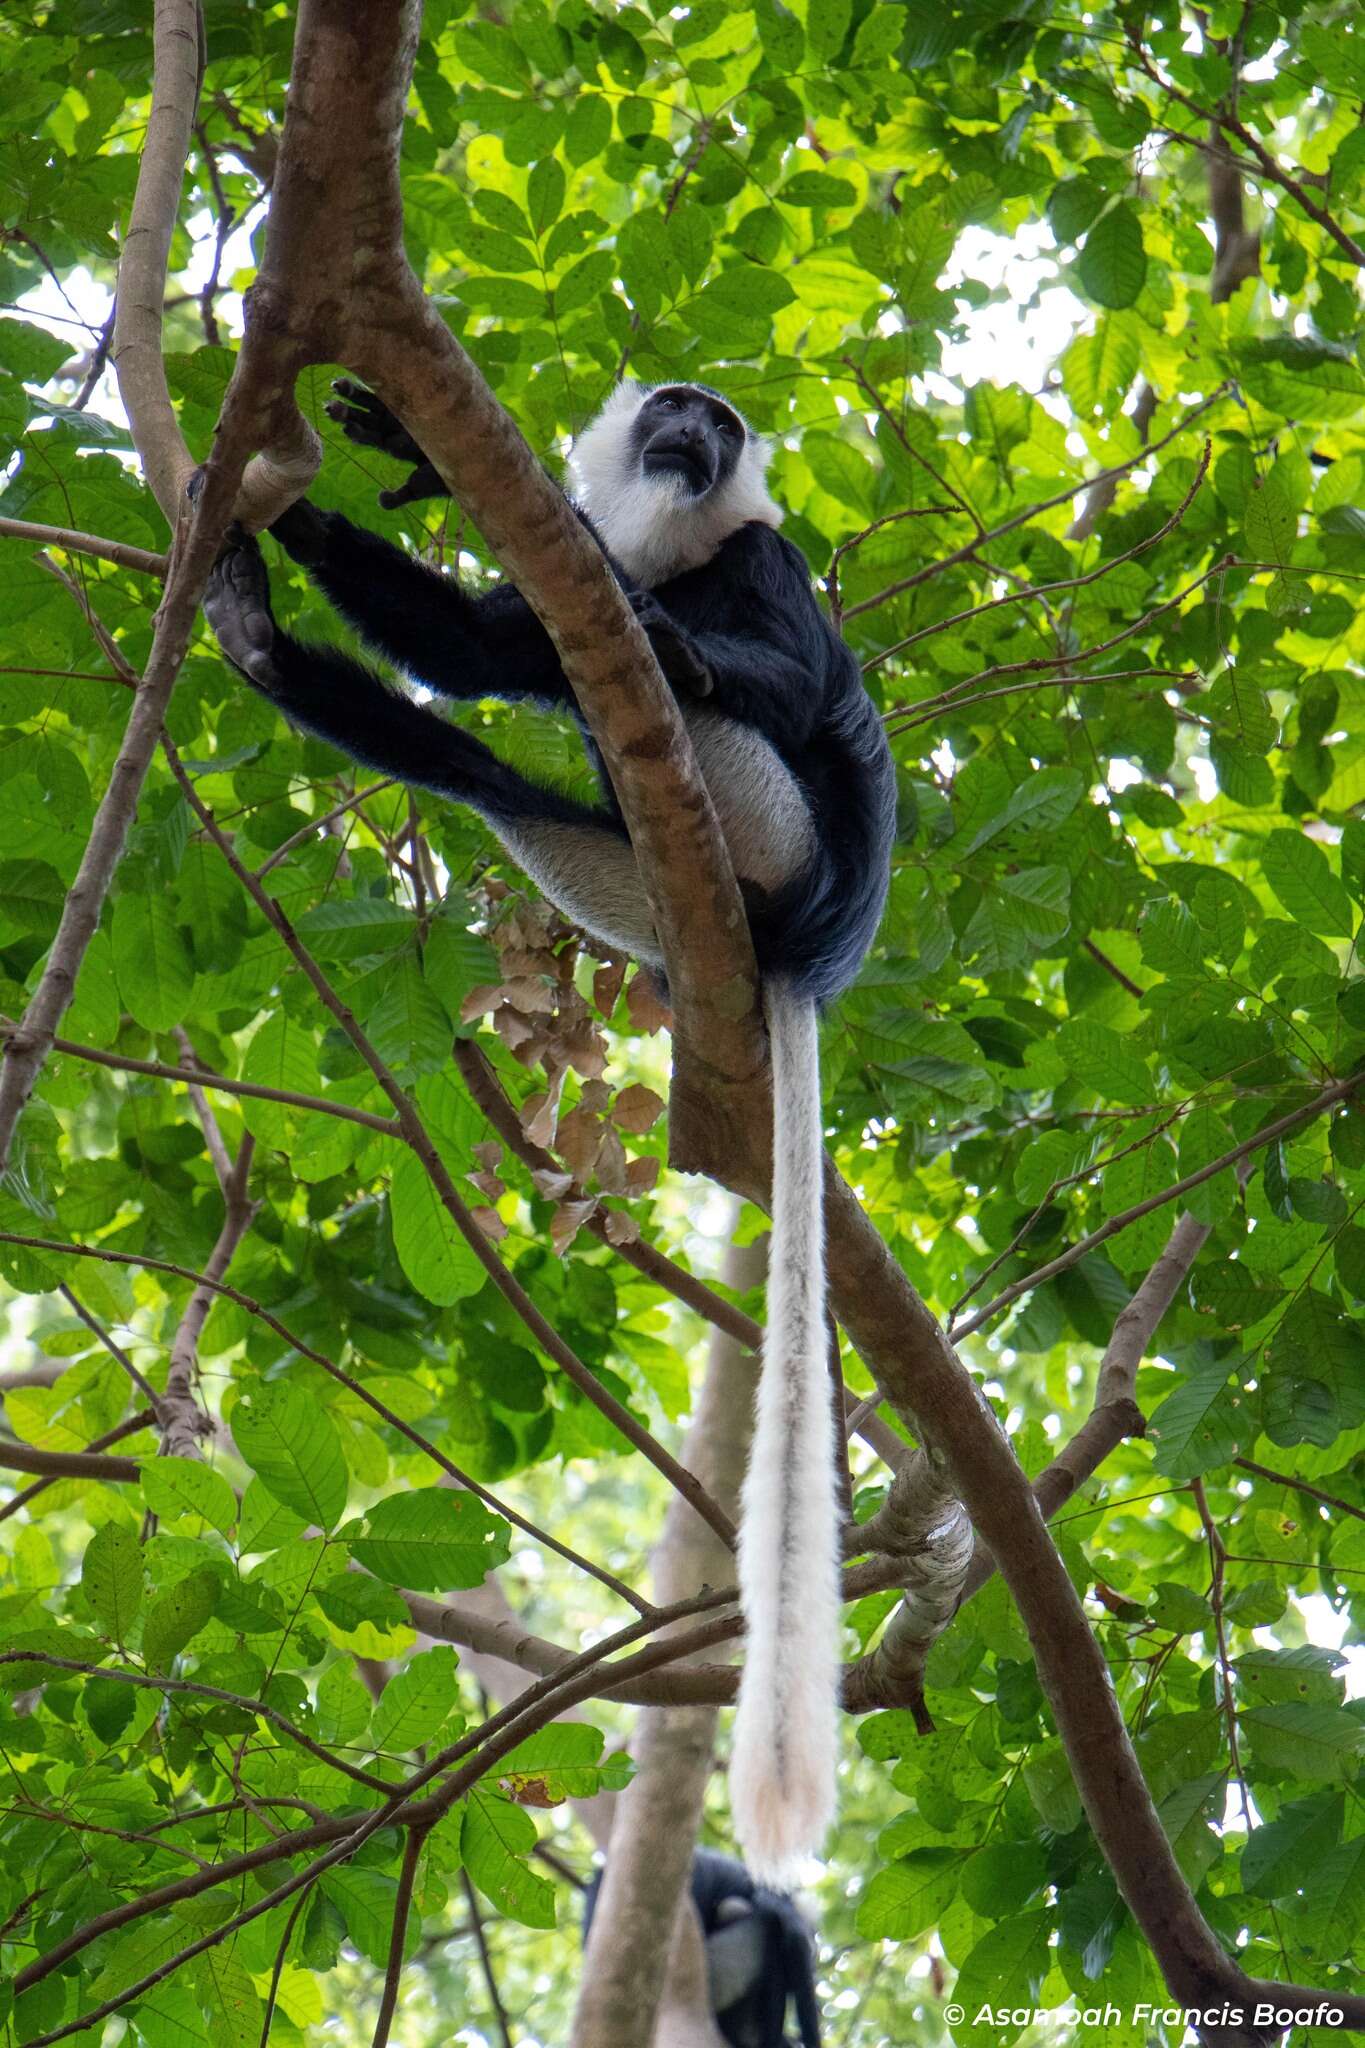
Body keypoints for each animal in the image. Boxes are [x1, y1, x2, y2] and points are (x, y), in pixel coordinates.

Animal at [202, 376, 900, 1875]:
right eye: (677, 412)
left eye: (717, 425)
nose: (693, 434)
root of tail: (802, 948)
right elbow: (470, 650)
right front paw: (345, 487)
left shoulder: (766, 559)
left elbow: (780, 676)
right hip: (618, 862)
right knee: (485, 740)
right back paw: (264, 645)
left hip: (752, 819)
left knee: (646, 687)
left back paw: (640, 642)